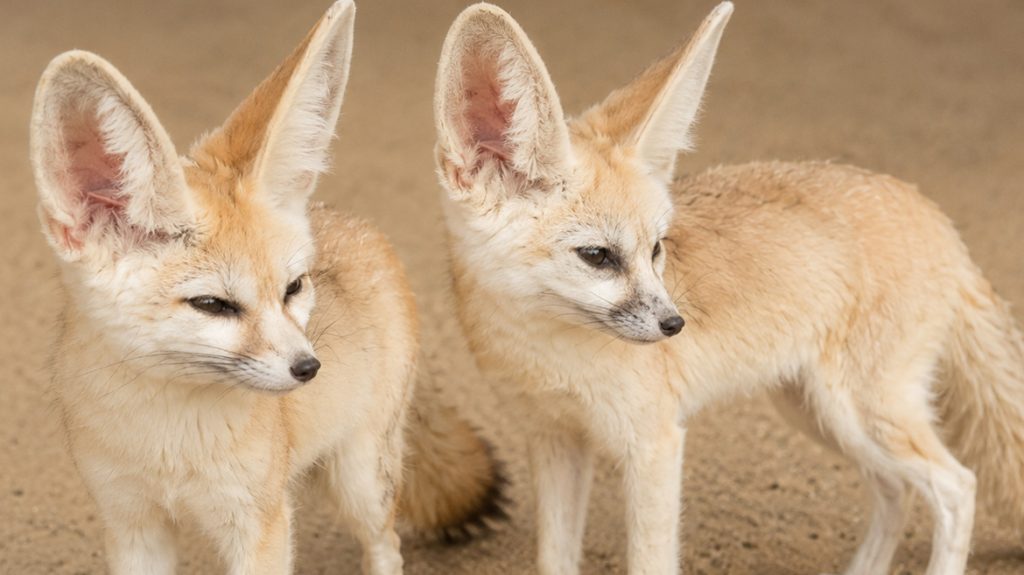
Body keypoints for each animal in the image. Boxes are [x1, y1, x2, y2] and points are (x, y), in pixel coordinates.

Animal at [29, 2, 502, 574]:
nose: (310, 368)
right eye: (212, 304)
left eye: (293, 287)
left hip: (360, 484)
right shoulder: (132, 523)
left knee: (386, 545)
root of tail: (358, 224)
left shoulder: (261, 523)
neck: (169, 443)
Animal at [433, 2, 1024, 575]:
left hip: (860, 413)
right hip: (818, 413)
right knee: (896, 490)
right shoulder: (557, 442)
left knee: (957, 487)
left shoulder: (654, 444)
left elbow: (650, 561)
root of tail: (937, 216)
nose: (675, 325)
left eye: (656, 249)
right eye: (598, 256)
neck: (546, 354)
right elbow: (554, 559)